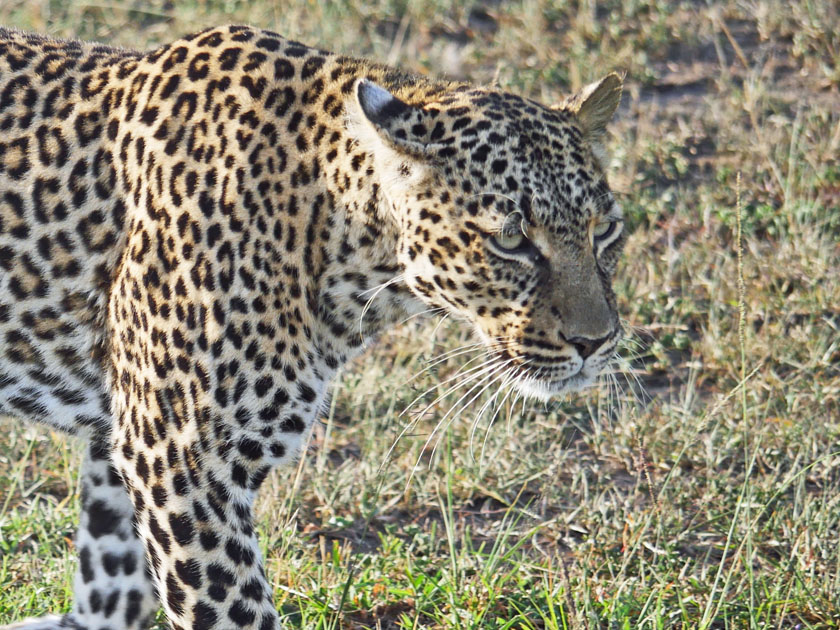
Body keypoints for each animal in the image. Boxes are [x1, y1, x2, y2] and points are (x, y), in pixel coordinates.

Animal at [0, 23, 628, 630]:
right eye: (510, 240)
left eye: (605, 230)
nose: (594, 341)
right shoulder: (181, 457)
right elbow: (228, 609)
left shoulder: (131, 436)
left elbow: (115, 570)